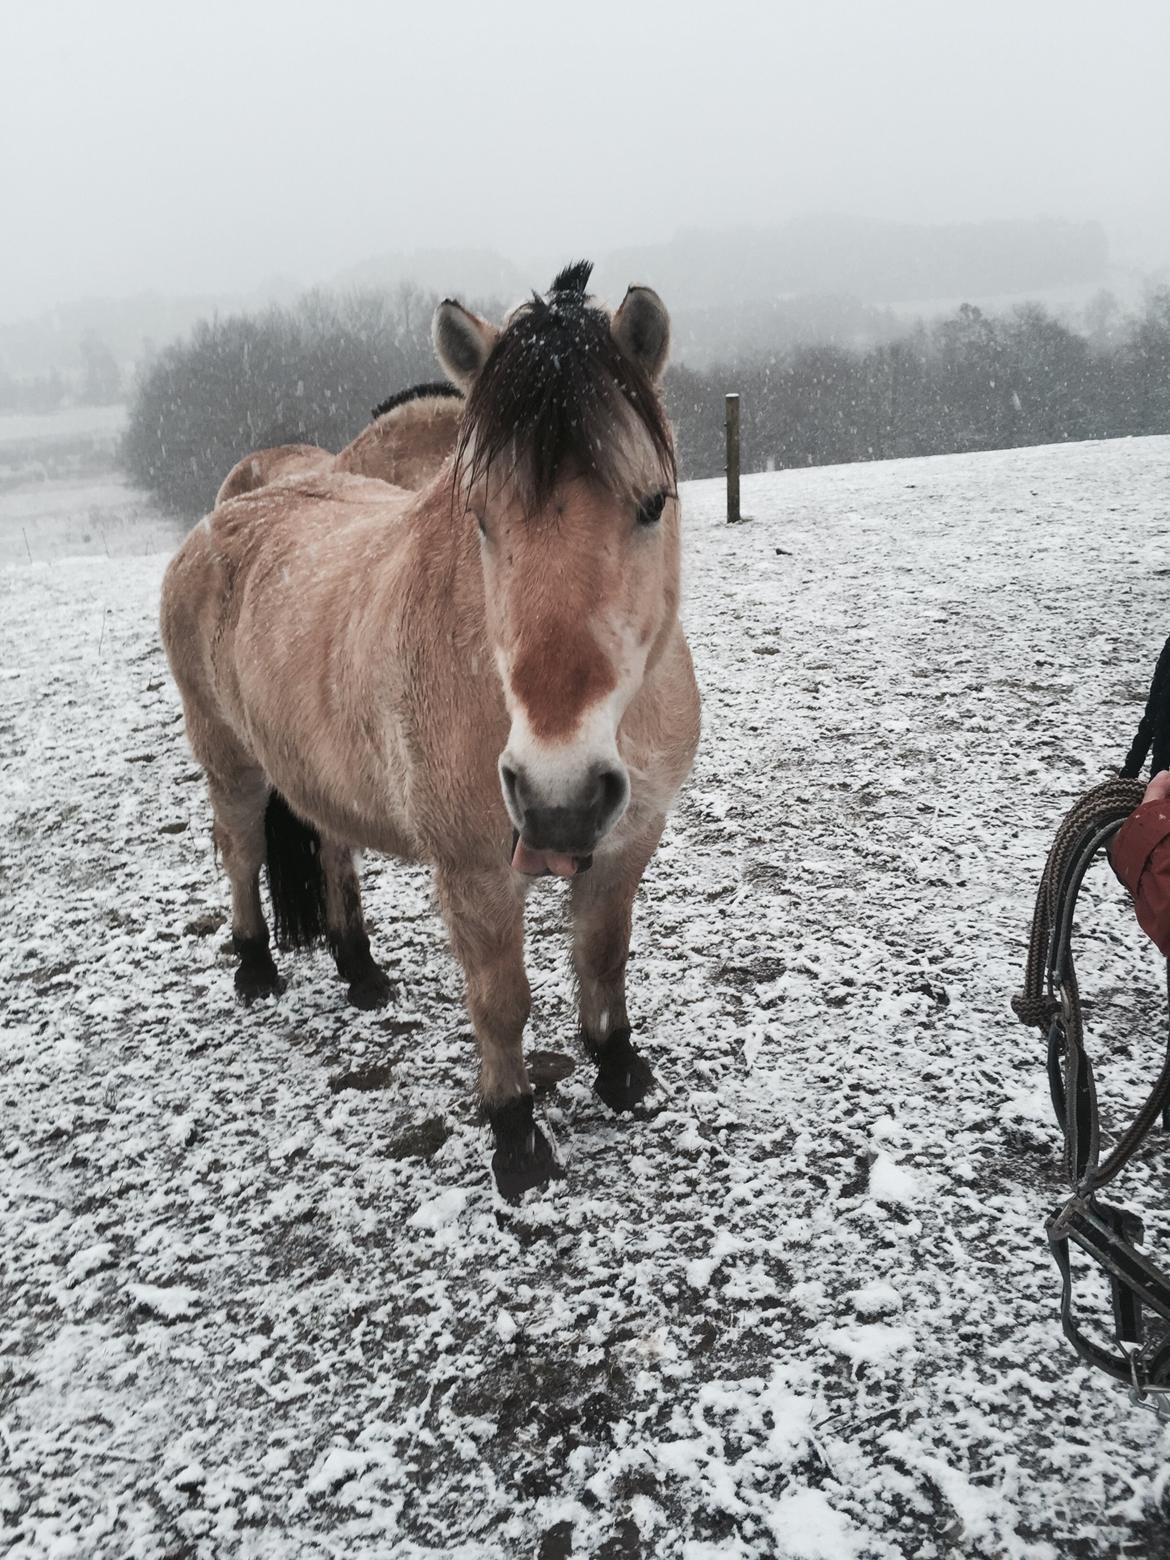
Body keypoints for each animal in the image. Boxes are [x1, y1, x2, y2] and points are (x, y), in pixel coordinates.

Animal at [160, 265, 702, 1191]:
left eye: (652, 502)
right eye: (478, 516)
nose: (556, 796)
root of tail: (218, 521)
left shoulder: (628, 843)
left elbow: (603, 957)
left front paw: (620, 1074)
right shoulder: (476, 875)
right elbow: (503, 1000)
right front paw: (516, 1138)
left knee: (330, 843)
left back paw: (360, 970)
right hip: (229, 761)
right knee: (239, 852)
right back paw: (256, 969)